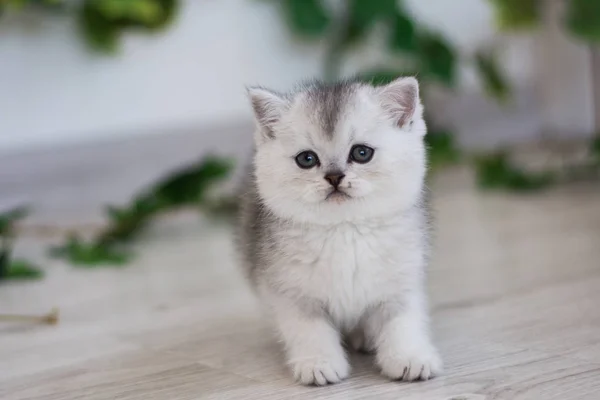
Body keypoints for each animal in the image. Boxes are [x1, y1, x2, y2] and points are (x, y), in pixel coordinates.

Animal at [238, 76, 440, 386]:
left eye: (361, 153)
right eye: (306, 159)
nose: (334, 177)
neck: (345, 229)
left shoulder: (400, 282)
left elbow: (401, 322)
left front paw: (409, 356)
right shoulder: (292, 293)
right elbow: (309, 329)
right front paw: (317, 362)